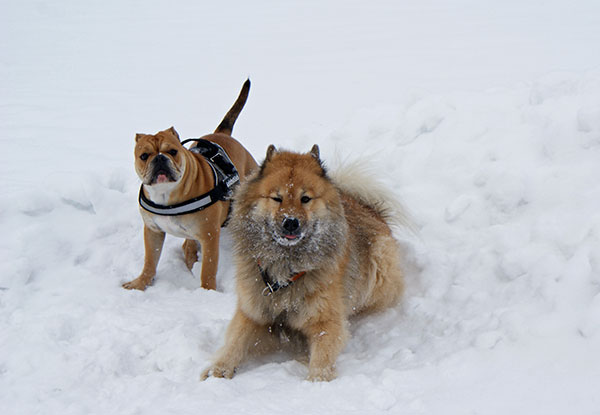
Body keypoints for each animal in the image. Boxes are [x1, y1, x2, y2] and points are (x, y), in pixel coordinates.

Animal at [124, 79, 258, 290]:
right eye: (144, 156)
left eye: (173, 151)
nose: (160, 158)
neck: (166, 194)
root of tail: (222, 134)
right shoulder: (153, 231)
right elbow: (150, 261)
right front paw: (140, 283)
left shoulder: (209, 235)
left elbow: (208, 269)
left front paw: (207, 291)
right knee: (187, 244)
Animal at [200, 145, 404, 382]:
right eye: (277, 198)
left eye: (305, 198)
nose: (291, 222)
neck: (286, 269)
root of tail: (371, 210)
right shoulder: (253, 312)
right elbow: (235, 341)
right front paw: (219, 369)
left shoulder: (326, 321)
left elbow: (322, 355)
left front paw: (317, 381)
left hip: (379, 268)